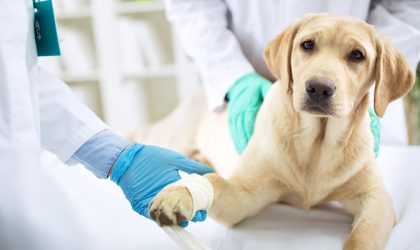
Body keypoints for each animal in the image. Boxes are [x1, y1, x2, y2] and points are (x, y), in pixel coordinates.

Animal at [133, 14, 416, 250]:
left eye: (357, 55)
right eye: (307, 45)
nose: (319, 87)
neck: (316, 143)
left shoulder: (376, 200)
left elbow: (364, 237)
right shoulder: (243, 195)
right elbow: (214, 182)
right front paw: (180, 193)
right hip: (172, 136)